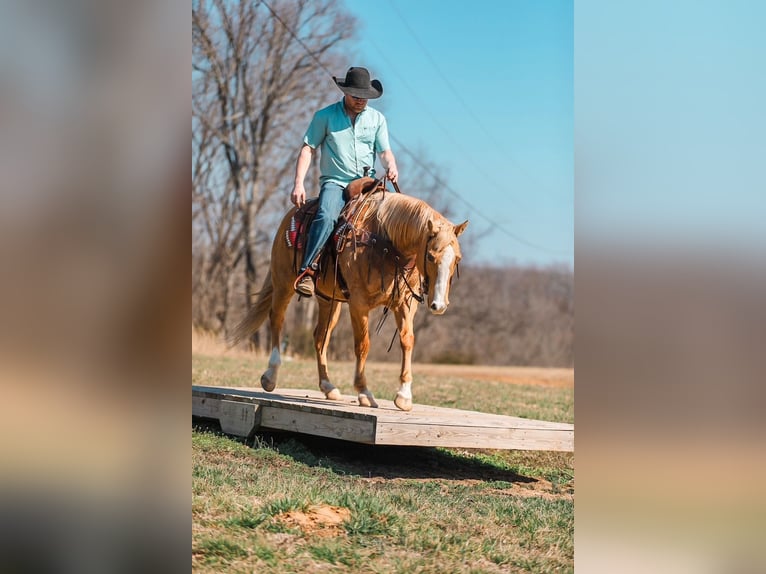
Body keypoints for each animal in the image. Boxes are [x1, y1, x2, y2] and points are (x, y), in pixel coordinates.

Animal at [229, 187, 468, 411]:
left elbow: (407, 340)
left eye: (457, 259)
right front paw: (364, 392)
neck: (385, 242)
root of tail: (291, 215)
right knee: (277, 320)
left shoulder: (405, 304)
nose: (439, 305)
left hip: (329, 301)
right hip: (283, 284)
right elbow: (363, 344)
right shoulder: (359, 303)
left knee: (320, 337)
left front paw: (404, 395)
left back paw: (328, 386)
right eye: (430, 256)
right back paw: (270, 375)